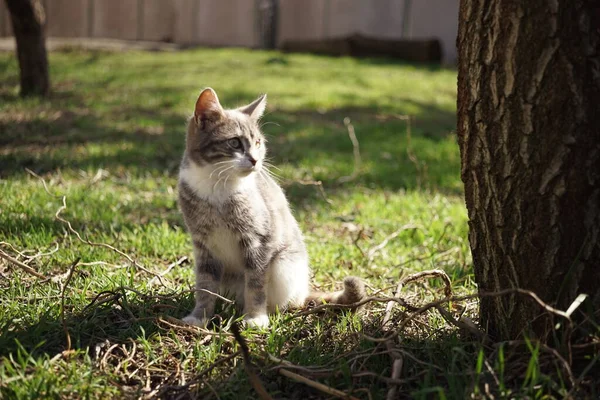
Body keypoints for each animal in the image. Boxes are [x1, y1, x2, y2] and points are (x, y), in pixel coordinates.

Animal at [178, 88, 366, 328]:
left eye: (258, 143)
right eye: (235, 143)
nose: (255, 160)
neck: (216, 186)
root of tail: (302, 292)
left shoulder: (258, 241)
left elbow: (256, 285)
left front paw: (256, 317)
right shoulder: (204, 246)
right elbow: (205, 286)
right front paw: (199, 316)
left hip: (284, 267)